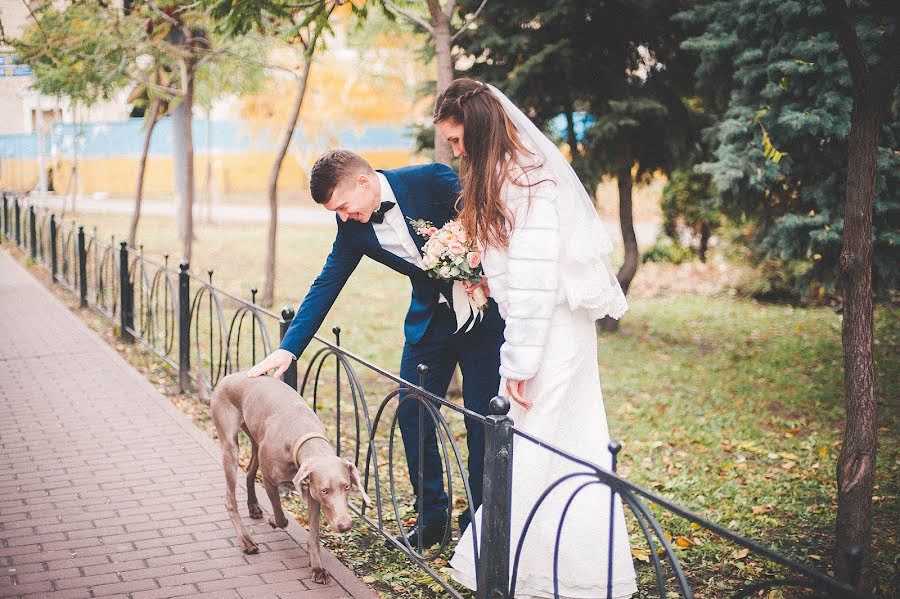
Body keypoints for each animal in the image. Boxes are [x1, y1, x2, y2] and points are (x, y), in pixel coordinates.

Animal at [211, 372, 370, 584]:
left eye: (347, 487)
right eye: (325, 490)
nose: (345, 526)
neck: (303, 433)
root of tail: (231, 376)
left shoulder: (311, 492)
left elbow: (314, 534)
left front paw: (317, 568)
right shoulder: (271, 481)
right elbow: (281, 517)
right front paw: (273, 520)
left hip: (255, 441)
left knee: (250, 471)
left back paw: (253, 507)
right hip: (230, 445)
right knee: (230, 499)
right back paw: (246, 541)